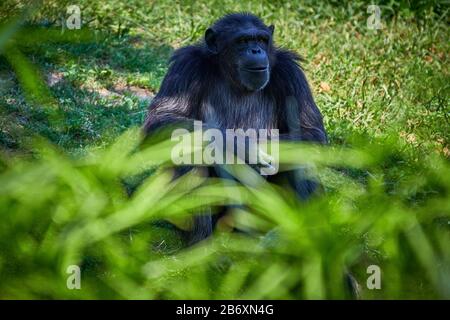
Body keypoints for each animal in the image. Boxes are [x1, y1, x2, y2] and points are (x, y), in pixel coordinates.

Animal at [144, 11, 326, 242]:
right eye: (242, 41)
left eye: (261, 40)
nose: (255, 50)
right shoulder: (186, 66)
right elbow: (163, 119)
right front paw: (240, 146)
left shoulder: (291, 73)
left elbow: (310, 130)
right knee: (191, 149)